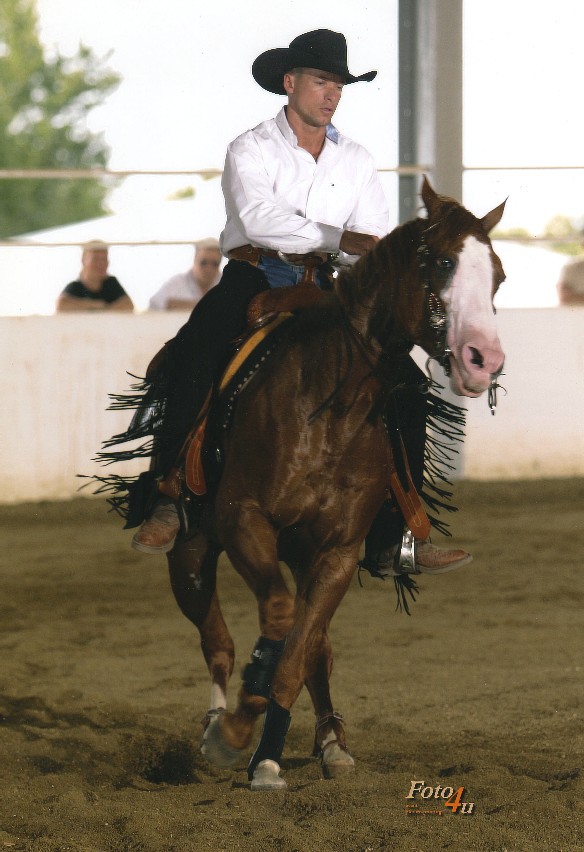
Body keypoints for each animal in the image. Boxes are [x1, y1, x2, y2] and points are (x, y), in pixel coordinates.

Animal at [164, 177, 506, 791]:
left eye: (499, 275)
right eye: (442, 262)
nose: (483, 359)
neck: (326, 404)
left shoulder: (338, 551)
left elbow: (298, 653)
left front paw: (267, 756)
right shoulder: (244, 520)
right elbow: (277, 621)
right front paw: (234, 732)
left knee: (314, 649)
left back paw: (329, 742)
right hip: (191, 553)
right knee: (217, 641)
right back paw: (213, 722)